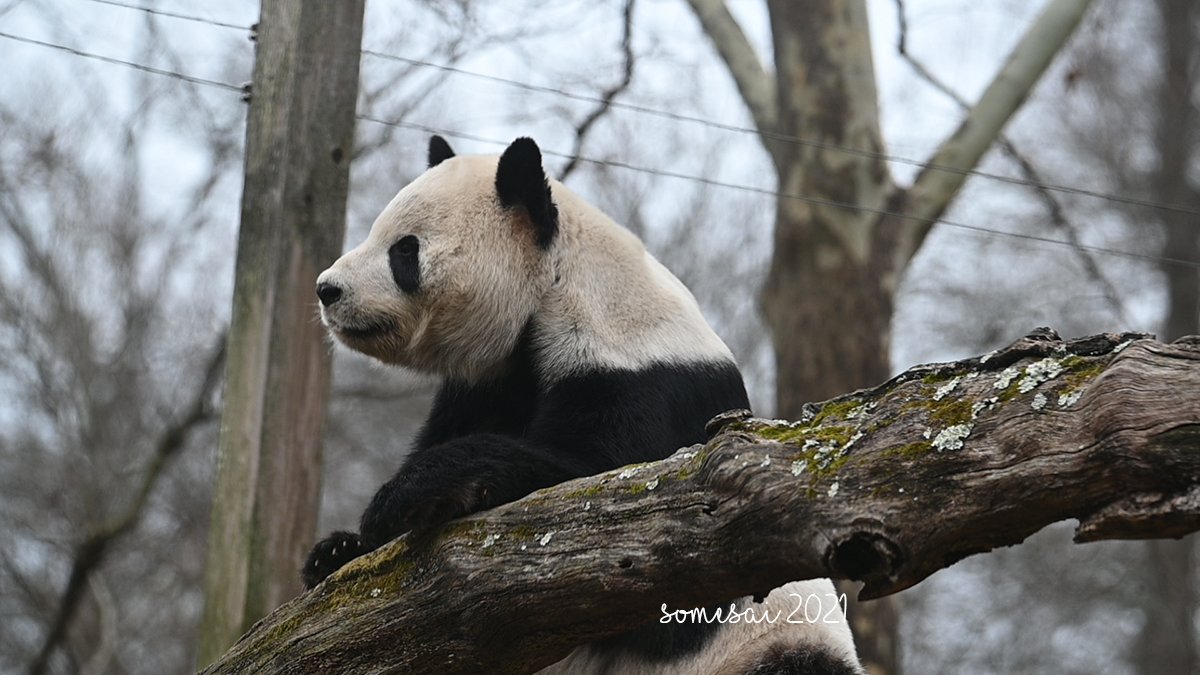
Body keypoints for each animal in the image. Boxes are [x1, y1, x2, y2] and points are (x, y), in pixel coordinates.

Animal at [304, 135, 864, 675]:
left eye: (404, 252)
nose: (327, 289)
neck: (554, 290)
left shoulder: (646, 379)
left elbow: (591, 488)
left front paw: (405, 495)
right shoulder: (488, 384)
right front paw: (336, 550)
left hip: (764, 647)